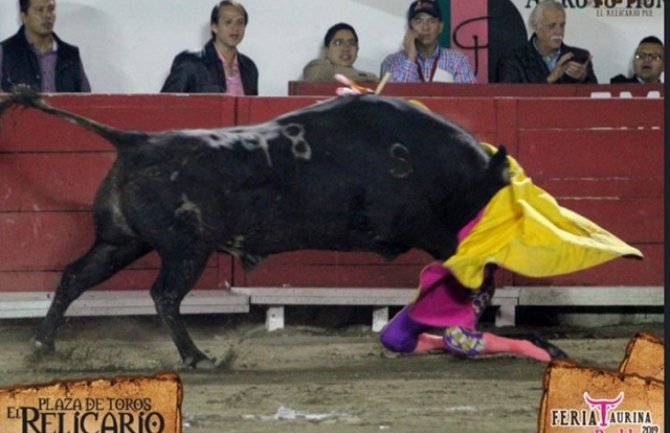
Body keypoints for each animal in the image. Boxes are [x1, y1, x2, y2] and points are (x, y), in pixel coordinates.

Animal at [0, 89, 510, 366]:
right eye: (495, 190)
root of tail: (135, 141)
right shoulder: (428, 231)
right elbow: (470, 273)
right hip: (186, 249)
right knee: (164, 294)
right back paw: (197, 357)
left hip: (122, 242)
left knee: (75, 277)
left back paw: (43, 346)